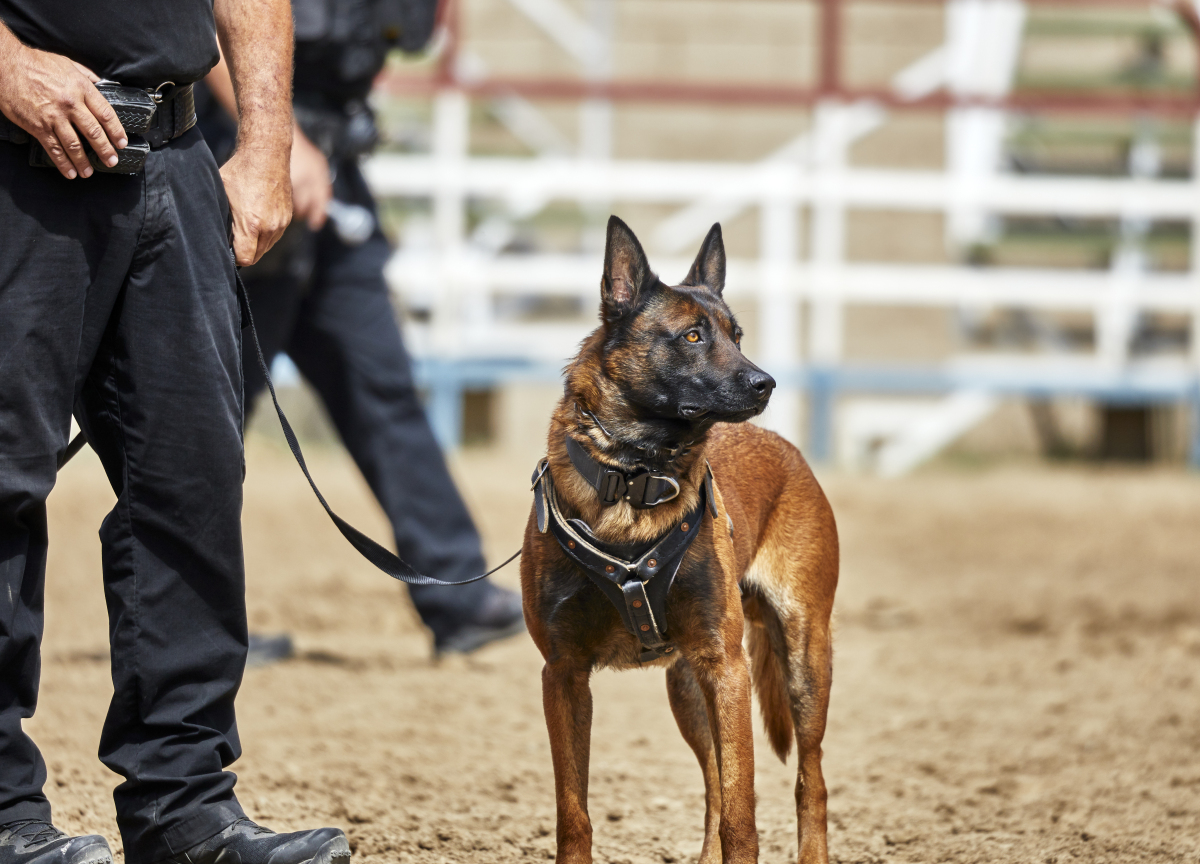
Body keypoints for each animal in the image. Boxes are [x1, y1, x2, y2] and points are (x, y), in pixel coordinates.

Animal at [520, 216, 840, 864]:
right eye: (692, 336)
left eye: (737, 335)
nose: (766, 382)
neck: (634, 477)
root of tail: (789, 451)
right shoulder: (563, 676)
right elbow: (574, 813)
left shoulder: (727, 667)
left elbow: (744, 814)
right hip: (688, 686)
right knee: (714, 780)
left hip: (802, 657)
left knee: (809, 777)